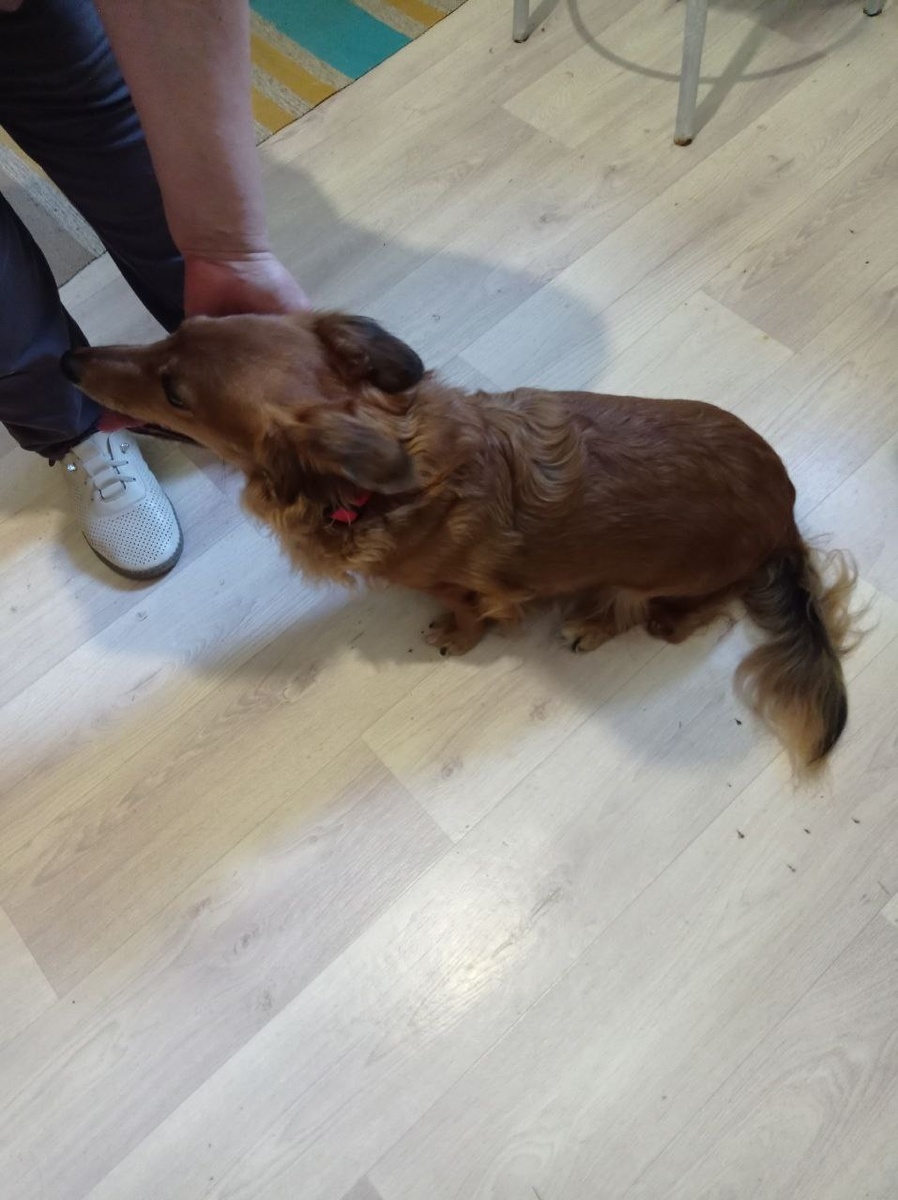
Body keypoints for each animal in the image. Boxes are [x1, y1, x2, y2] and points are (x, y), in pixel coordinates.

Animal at [62, 310, 858, 768]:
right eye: (176, 327)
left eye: (175, 391)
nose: (68, 359)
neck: (384, 477)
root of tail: (783, 517)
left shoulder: (459, 583)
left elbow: (470, 610)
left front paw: (454, 635)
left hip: (663, 586)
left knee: (668, 618)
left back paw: (595, 623)